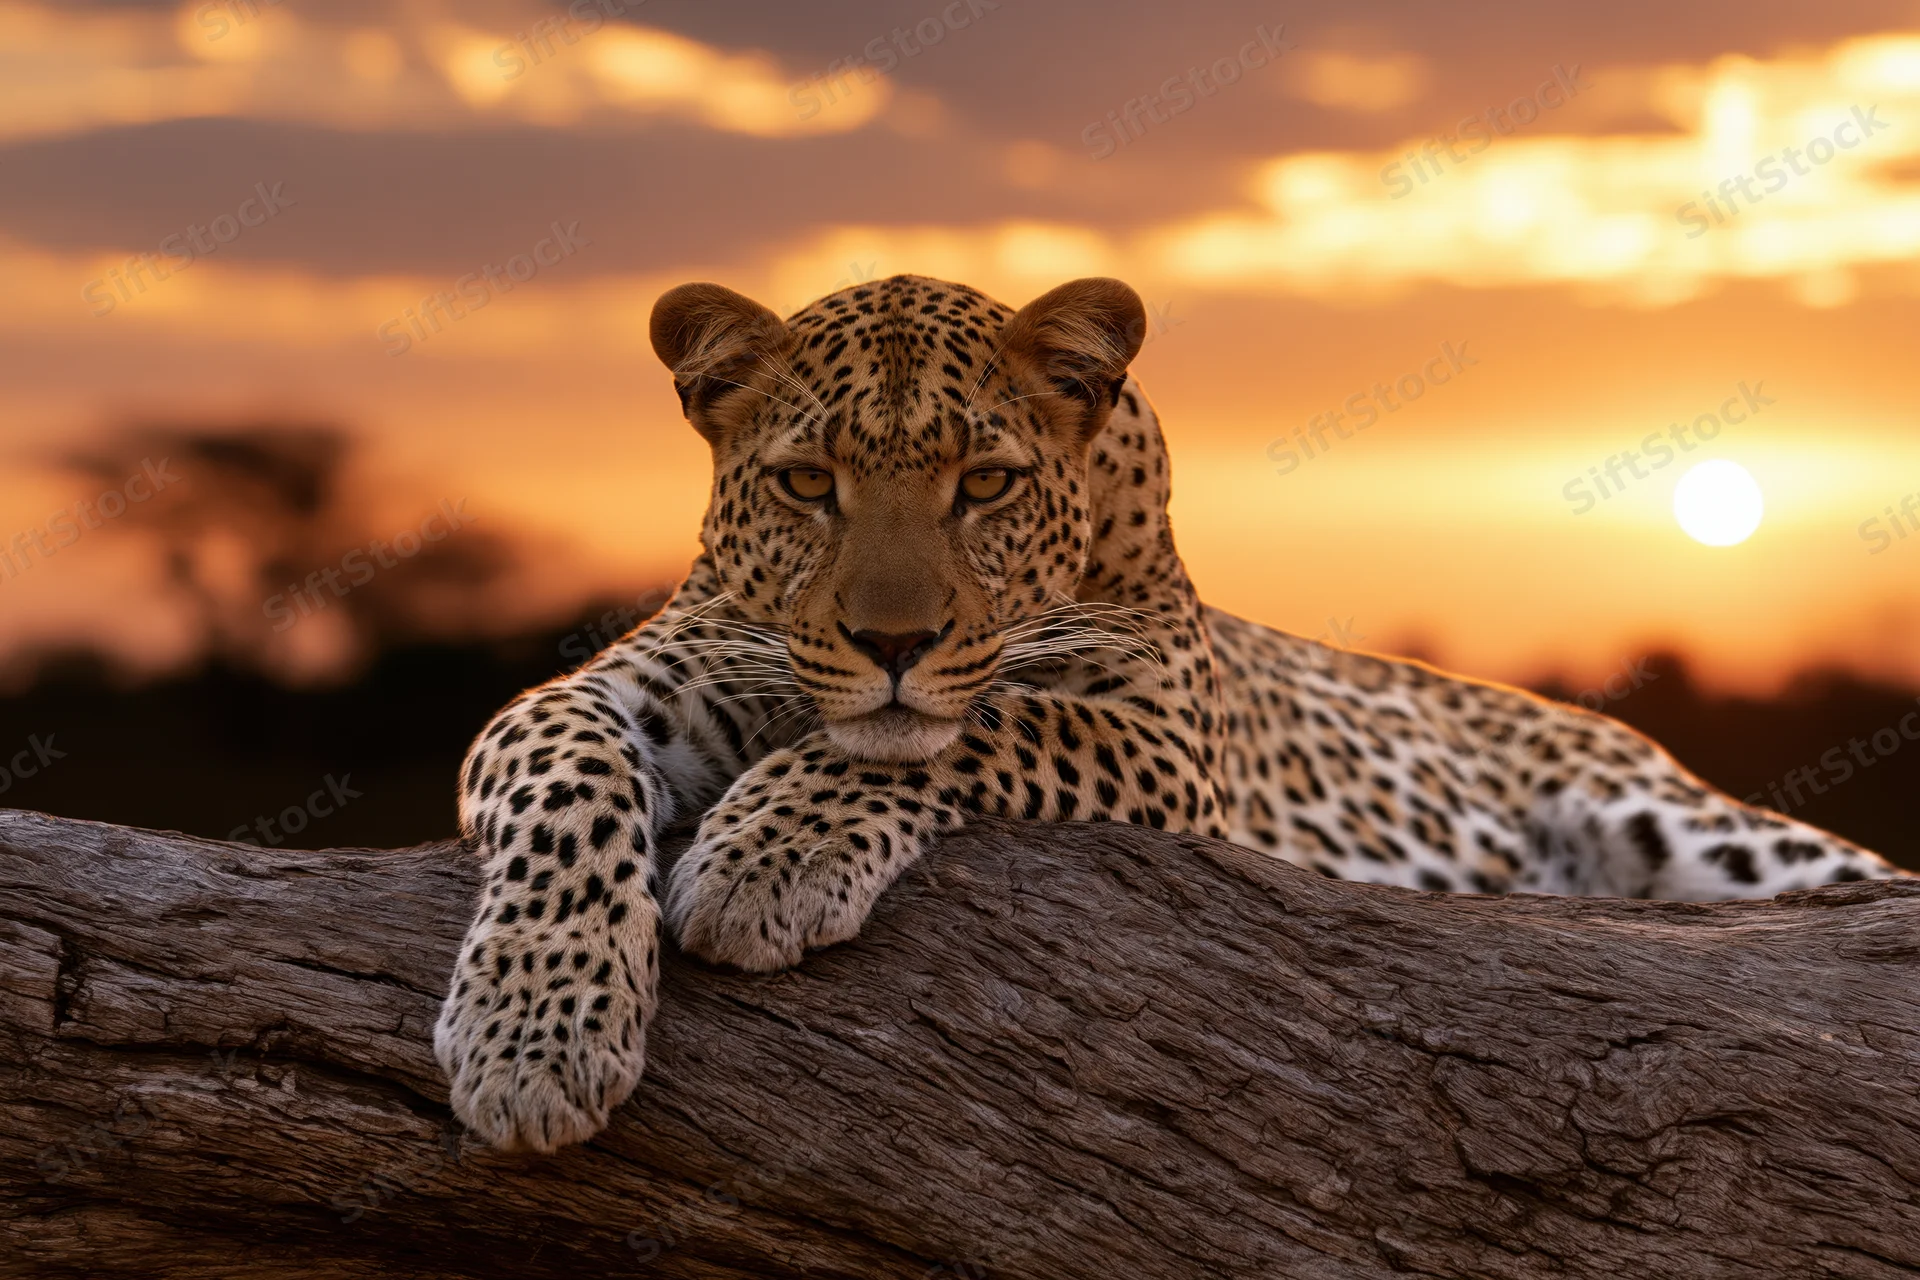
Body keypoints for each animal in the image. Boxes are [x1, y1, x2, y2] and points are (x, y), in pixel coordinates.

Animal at [435, 272, 1908, 1153]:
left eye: (984, 483)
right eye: (806, 483)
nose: (893, 641)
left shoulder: (1156, 737)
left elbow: (980, 725)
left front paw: (764, 860)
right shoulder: (606, 689)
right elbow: (566, 789)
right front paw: (534, 1034)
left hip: (1694, 827)